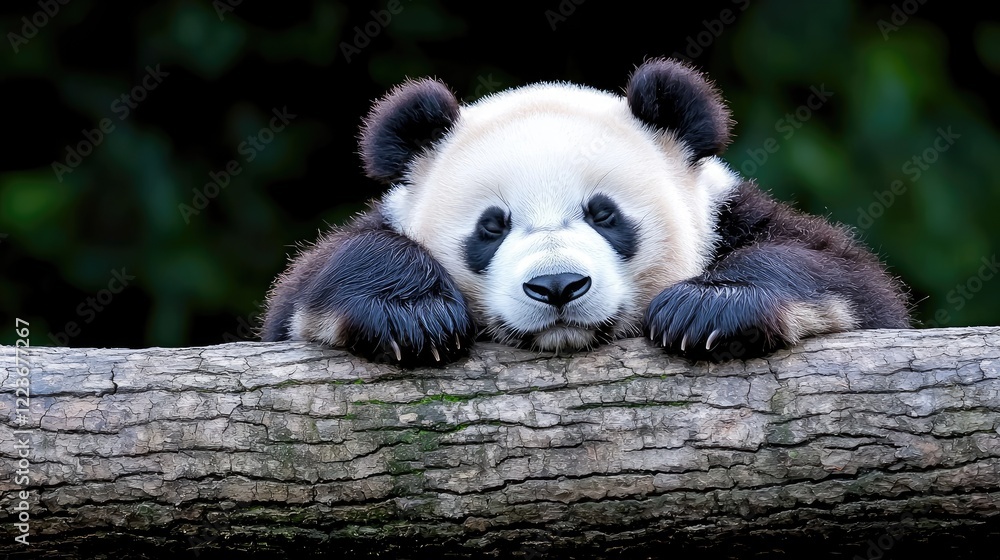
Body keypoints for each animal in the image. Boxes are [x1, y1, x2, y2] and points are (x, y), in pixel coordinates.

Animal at [261, 58, 910, 366]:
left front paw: (706, 309)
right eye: (492, 226)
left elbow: (846, 278)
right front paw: (413, 314)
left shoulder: (727, 215)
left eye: (604, 215)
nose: (556, 287)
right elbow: (309, 287)